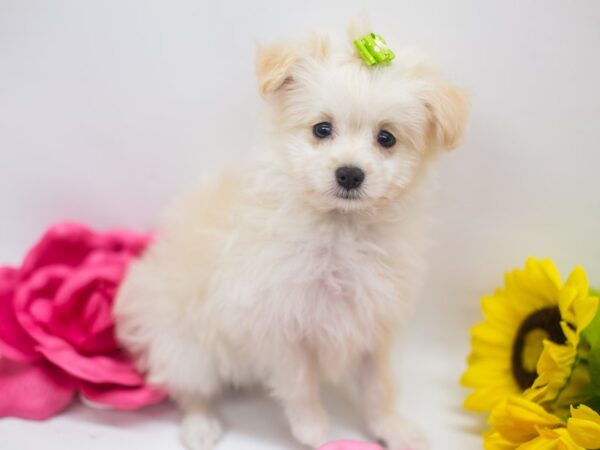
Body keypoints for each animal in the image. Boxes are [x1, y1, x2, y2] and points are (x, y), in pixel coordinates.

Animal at [112, 23, 468, 450]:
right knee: (191, 389)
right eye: (322, 129)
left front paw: (392, 428)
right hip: (186, 348)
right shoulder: (280, 325)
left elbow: (378, 386)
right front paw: (312, 430)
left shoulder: (372, 320)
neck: (341, 228)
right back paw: (200, 426)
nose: (350, 174)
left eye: (387, 139)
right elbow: (301, 385)